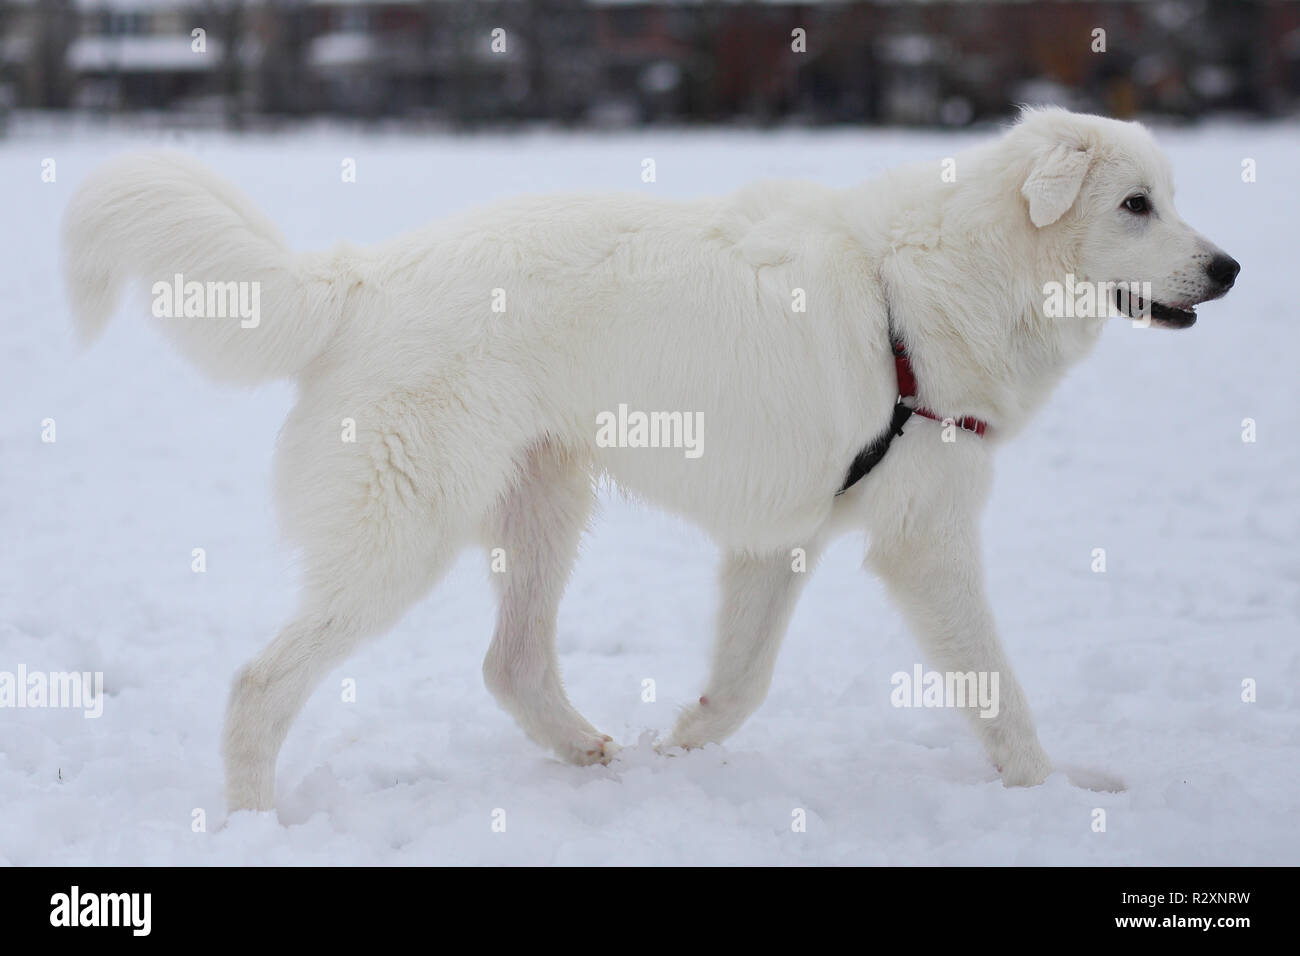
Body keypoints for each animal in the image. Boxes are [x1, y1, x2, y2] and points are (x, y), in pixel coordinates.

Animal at [61, 108, 1237, 811]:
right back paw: (255, 815)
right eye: (1135, 205)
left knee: (509, 662)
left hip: (544, 505)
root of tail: (357, 279)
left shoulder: (779, 539)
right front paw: (1057, 793)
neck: (950, 276)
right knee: (260, 683)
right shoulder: (927, 542)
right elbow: (999, 690)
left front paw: (684, 742)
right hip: (405, 534)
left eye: (1171, 199)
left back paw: (587, 749)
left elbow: (745, 681)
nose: (1227, 268)